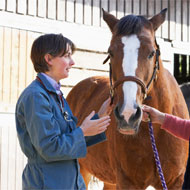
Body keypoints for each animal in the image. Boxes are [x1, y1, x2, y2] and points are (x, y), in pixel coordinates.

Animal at [66, 9, 189, 190]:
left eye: (151, 53)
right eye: (110, 53)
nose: (128, 115)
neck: (155, 132)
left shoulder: (174, 182)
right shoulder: (128, 182)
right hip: (83, 170)